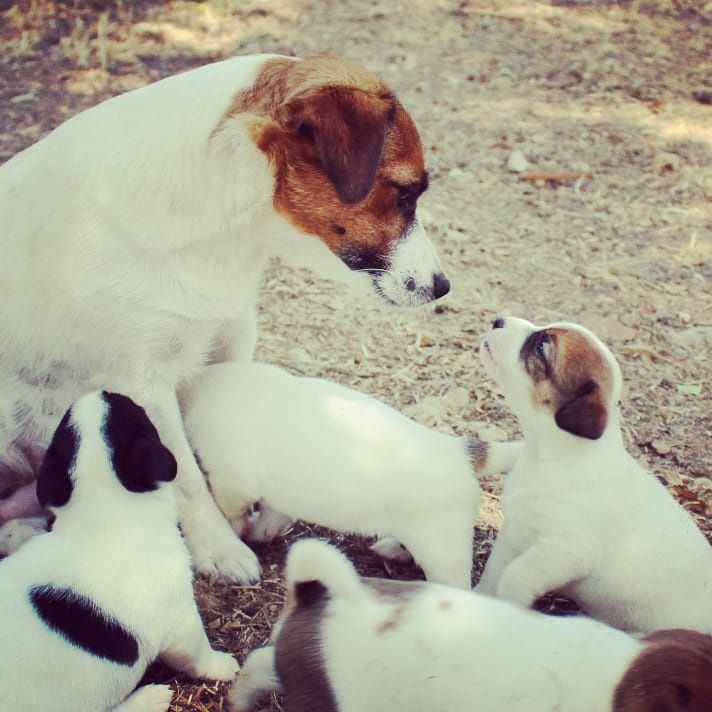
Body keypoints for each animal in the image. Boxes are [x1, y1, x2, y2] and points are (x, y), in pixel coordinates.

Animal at [0, 54, 448, 580]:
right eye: (406, 195)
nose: (444, 286)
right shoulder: (142, 383)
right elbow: (186, 478)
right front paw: (218, 546)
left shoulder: (229, 339)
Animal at [0, 392, 239, 712]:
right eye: (138, 412)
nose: (101, 391)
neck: (105, 510)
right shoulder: (180, 621)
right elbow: (197, 653)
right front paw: (225, 666)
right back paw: (150, 698)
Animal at [181, 362, 520, 588]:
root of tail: (461, 452)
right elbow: (272, 516)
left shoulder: (232, 481)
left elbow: (234, 511)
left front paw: (241, 532)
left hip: (443, 552)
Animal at [476, 318, 712, 636]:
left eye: (541, 347)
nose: (499, 320)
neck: (551, 460)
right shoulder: (515, 533)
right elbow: (493, 572)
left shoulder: (563, 552)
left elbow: (514, 575)